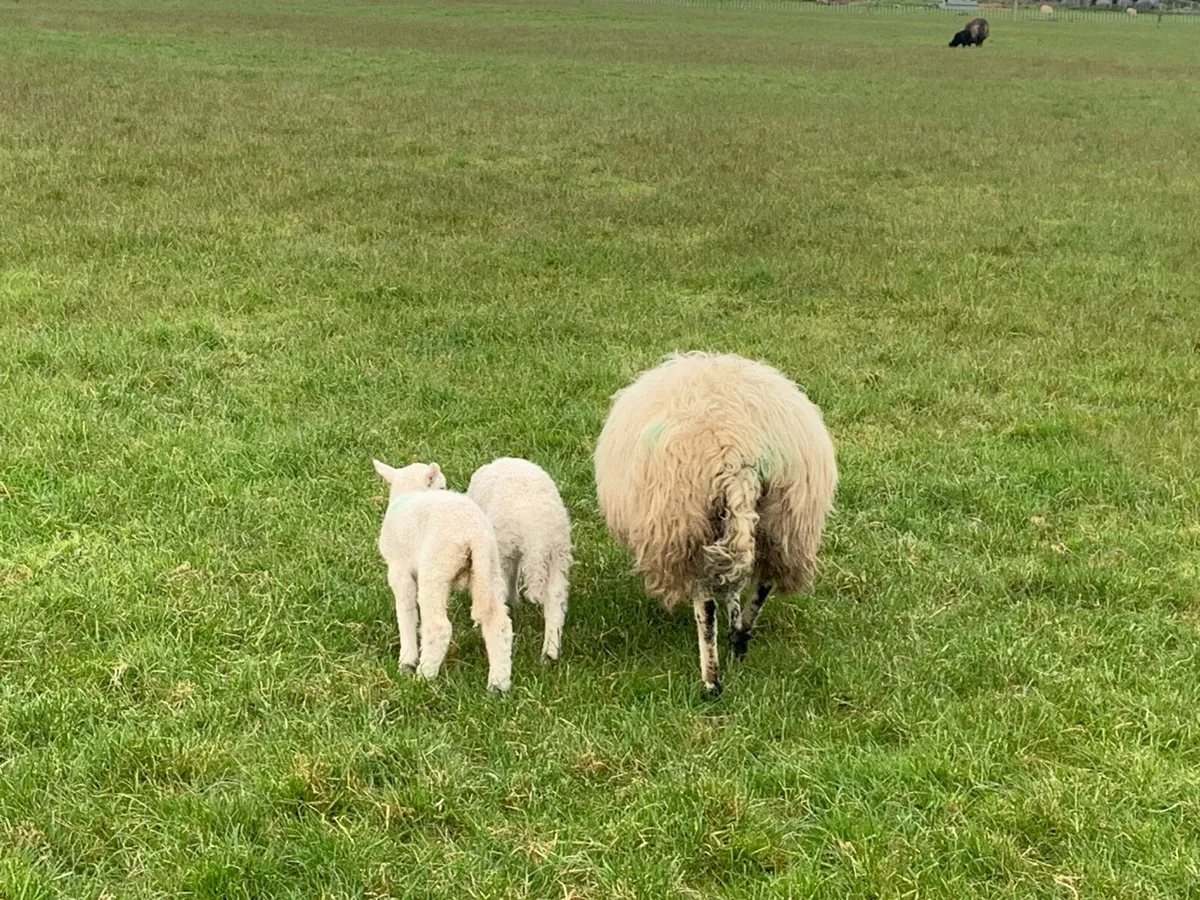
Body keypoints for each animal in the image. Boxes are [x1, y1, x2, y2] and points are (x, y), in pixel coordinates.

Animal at [373, 459, 513, 692]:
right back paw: (498, 684)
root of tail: (474, 534)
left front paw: (406, 660)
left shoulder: (399, 568)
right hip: (490, 568)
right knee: (498, 623)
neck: (409, 491)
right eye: (442, 486)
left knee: (439, 627)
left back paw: (424, 675)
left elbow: (406, 611)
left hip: (436, 568)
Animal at [467, 457, 573, 663]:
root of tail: (537, 529)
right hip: (557, 554)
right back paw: (550, 651)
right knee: (555, 599)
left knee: (498, 593)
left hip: (503, 548)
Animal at [593, 352, 837, 696]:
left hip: (689, 529)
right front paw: (734, 620)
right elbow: (735, 586)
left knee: (705, 607)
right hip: (788, 520)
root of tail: (738, 455)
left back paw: (711, 680)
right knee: (762, 584)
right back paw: (740, 638)